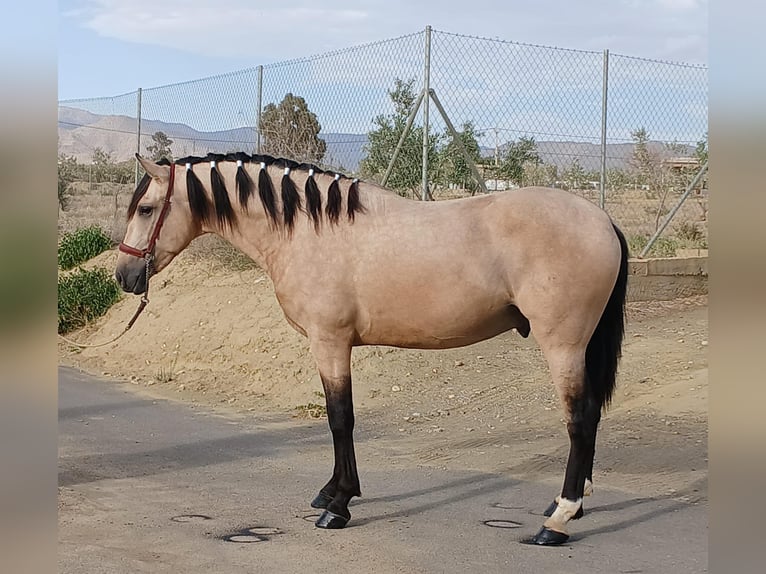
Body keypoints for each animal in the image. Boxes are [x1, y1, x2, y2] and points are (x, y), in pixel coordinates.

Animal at [115, 154, 632, 548]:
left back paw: (558, 521)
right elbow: (337, 419)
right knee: (590, 418)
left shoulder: (330, 342)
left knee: (580, 419)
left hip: (563, 345)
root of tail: (603, 220)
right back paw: (567, 505)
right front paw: (329, 493)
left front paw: (339, 505)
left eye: (146, 208)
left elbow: (339, 418)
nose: (124, 276)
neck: (309, 231)